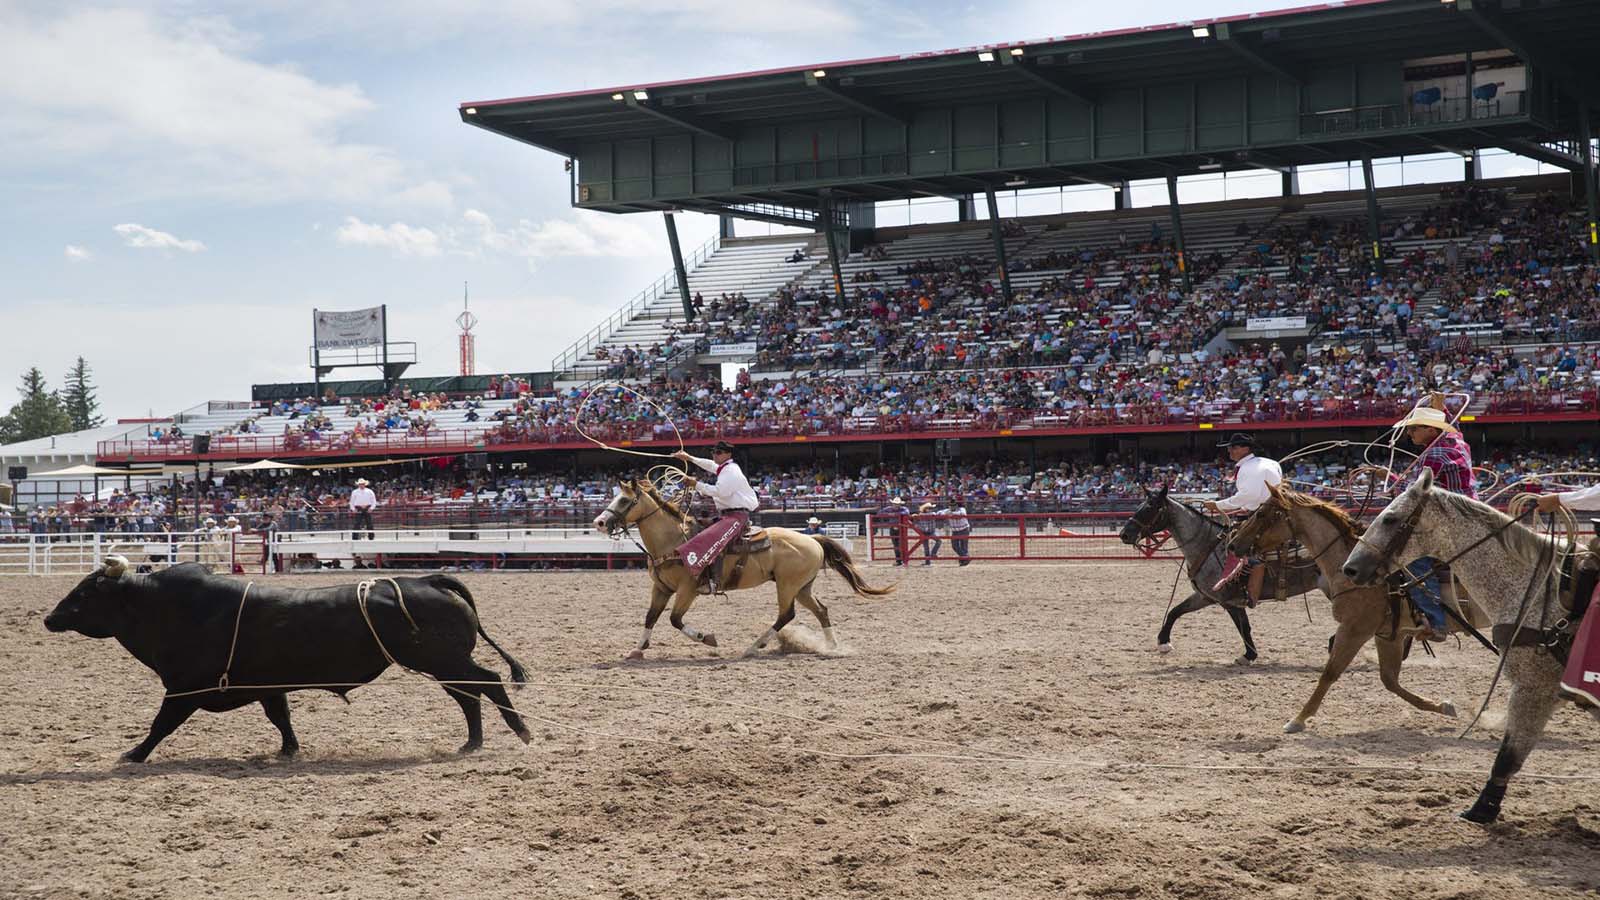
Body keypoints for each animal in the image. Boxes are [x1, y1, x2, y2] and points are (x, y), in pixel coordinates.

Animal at [595, 477, 896, 659]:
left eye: (625, 500)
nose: (599, 522)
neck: (675, 541)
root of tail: (812, 539)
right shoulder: (661, 588)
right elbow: (650, 617)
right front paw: (637, 649)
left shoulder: (687, 589)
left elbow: (674, 620)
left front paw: (707, 638)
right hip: (802, 587)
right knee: (821, 610)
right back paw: (832, 647)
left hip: (787, 586)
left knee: (786, 614)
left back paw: (754, 646)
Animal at [1120, 483, 1318, 666]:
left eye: (1149, 508)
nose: (1124, 535)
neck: (1207, 546)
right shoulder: (1205, 596)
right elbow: (1175, 611)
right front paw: (1164, 642)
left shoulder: (1229, 601)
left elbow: (1244, 627)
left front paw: (1249, 655)